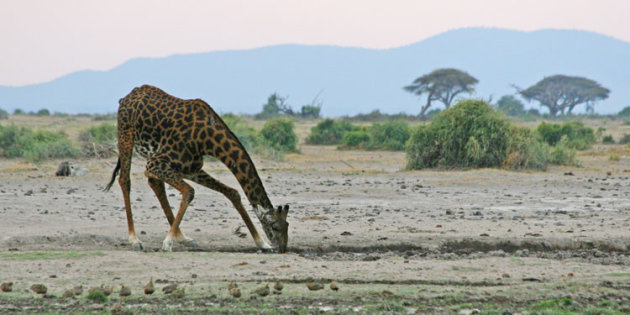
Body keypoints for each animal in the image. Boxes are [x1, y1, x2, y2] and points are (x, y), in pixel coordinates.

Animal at [104, 85, 292, 253]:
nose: (282, 248)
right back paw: (135, 240)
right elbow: (189, 191)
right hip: (126, 136)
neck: (207, 139)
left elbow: (232, 193)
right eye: (274, 226)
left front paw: (263, 244)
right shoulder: (156, 163)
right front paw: (167, 243)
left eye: (287, 225)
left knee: (155, 184)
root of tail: (126, 97)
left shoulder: (190, 168)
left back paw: (184, 238)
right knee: (125, 180)